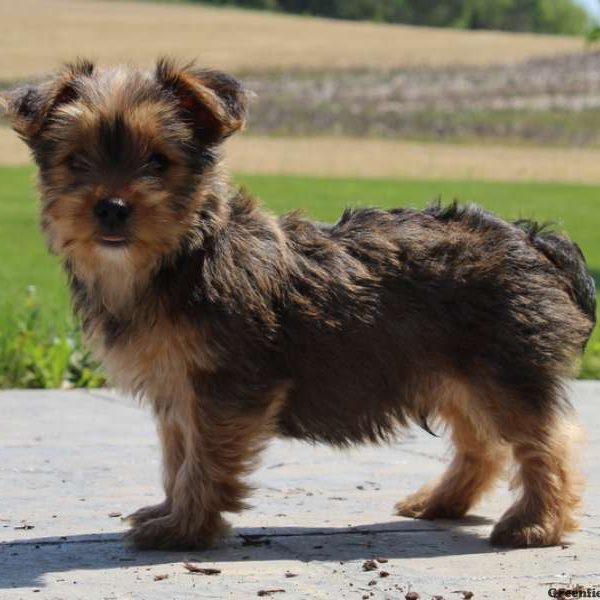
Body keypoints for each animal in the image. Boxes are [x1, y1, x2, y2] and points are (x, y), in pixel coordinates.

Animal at [1, 59, 596, 548]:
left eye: (157, 160)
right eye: (76, 160)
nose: (112, 208)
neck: (183, 254)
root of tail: (530, 238)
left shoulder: (224, 387)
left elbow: (203, 458)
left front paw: (185, 526)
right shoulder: (178, 390)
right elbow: (177, 456)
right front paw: (170, 510)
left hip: (505, 369)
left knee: (546, 441)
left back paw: (536, 524)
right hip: (454, 375)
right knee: (484, 443)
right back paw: (442, 500)